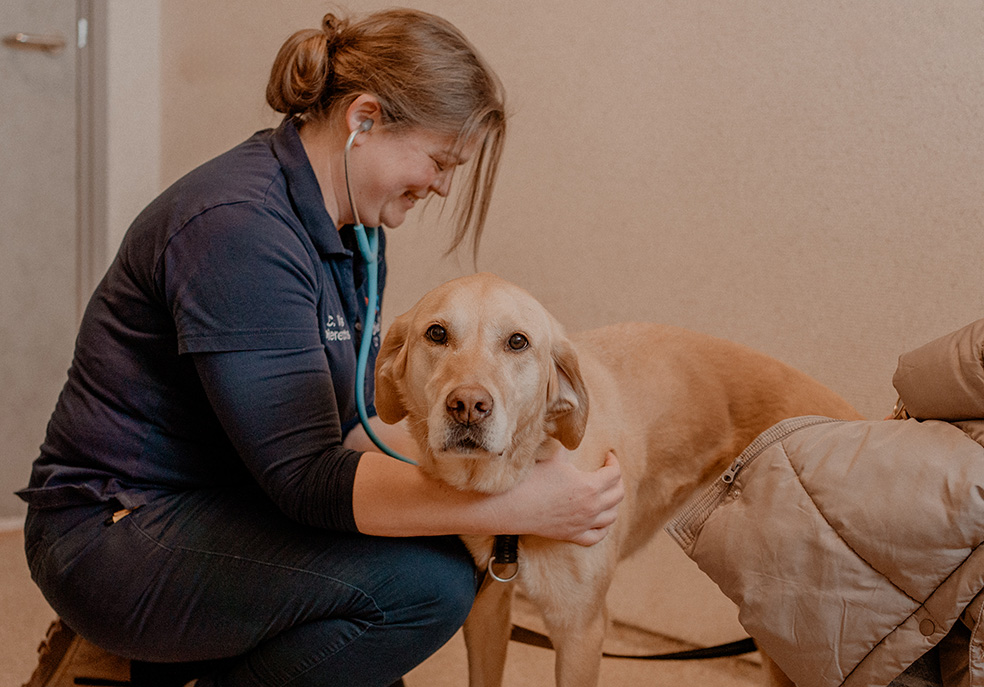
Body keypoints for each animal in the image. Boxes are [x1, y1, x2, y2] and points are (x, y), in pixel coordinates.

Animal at [374, 274, 860, 687]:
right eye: (437, 334)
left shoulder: (581, 631)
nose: (468, 406)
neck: (526, 474)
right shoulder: (487, 608)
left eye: (517, 342)